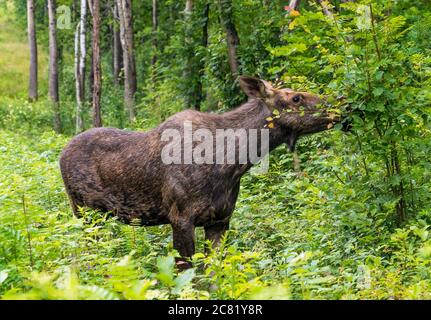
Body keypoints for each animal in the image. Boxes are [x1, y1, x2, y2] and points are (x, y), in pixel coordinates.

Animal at [60, 76, 340, 268]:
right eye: (296, 98)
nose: (339, 104)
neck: (232, 164)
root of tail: (60, 156)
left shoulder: (220, 220)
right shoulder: (180, 217)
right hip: (84, 210)